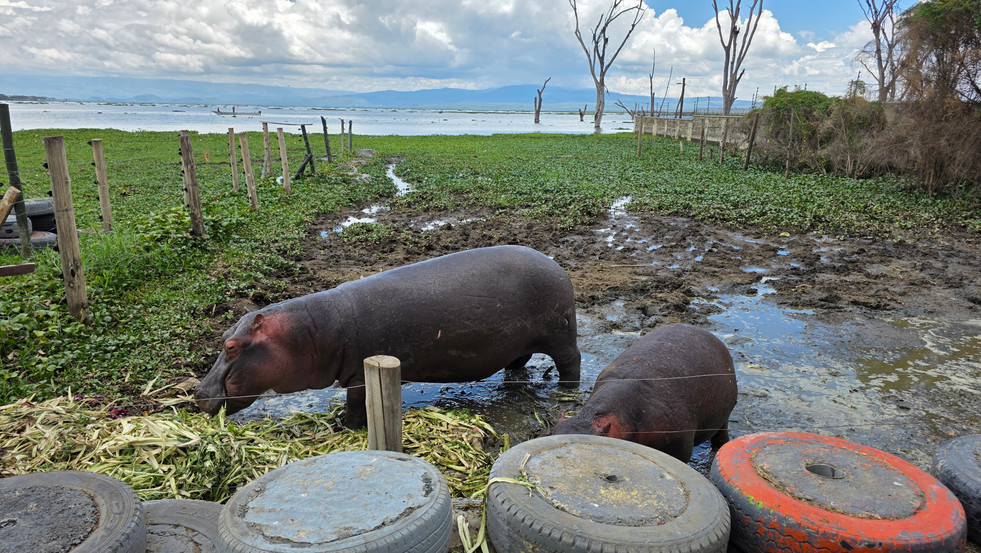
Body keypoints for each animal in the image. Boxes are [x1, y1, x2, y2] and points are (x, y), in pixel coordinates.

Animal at [195, 245, 581, 428]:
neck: (311, 331)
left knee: (571, 362)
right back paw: (511, 381)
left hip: (560, 334)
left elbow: (356, 405)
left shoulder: (357, 376)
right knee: (520, 360)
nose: (197, 393)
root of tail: (557, 265)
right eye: (224, 335)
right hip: (520, 340)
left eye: (232, 346)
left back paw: (567, 393)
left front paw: (345, 427)